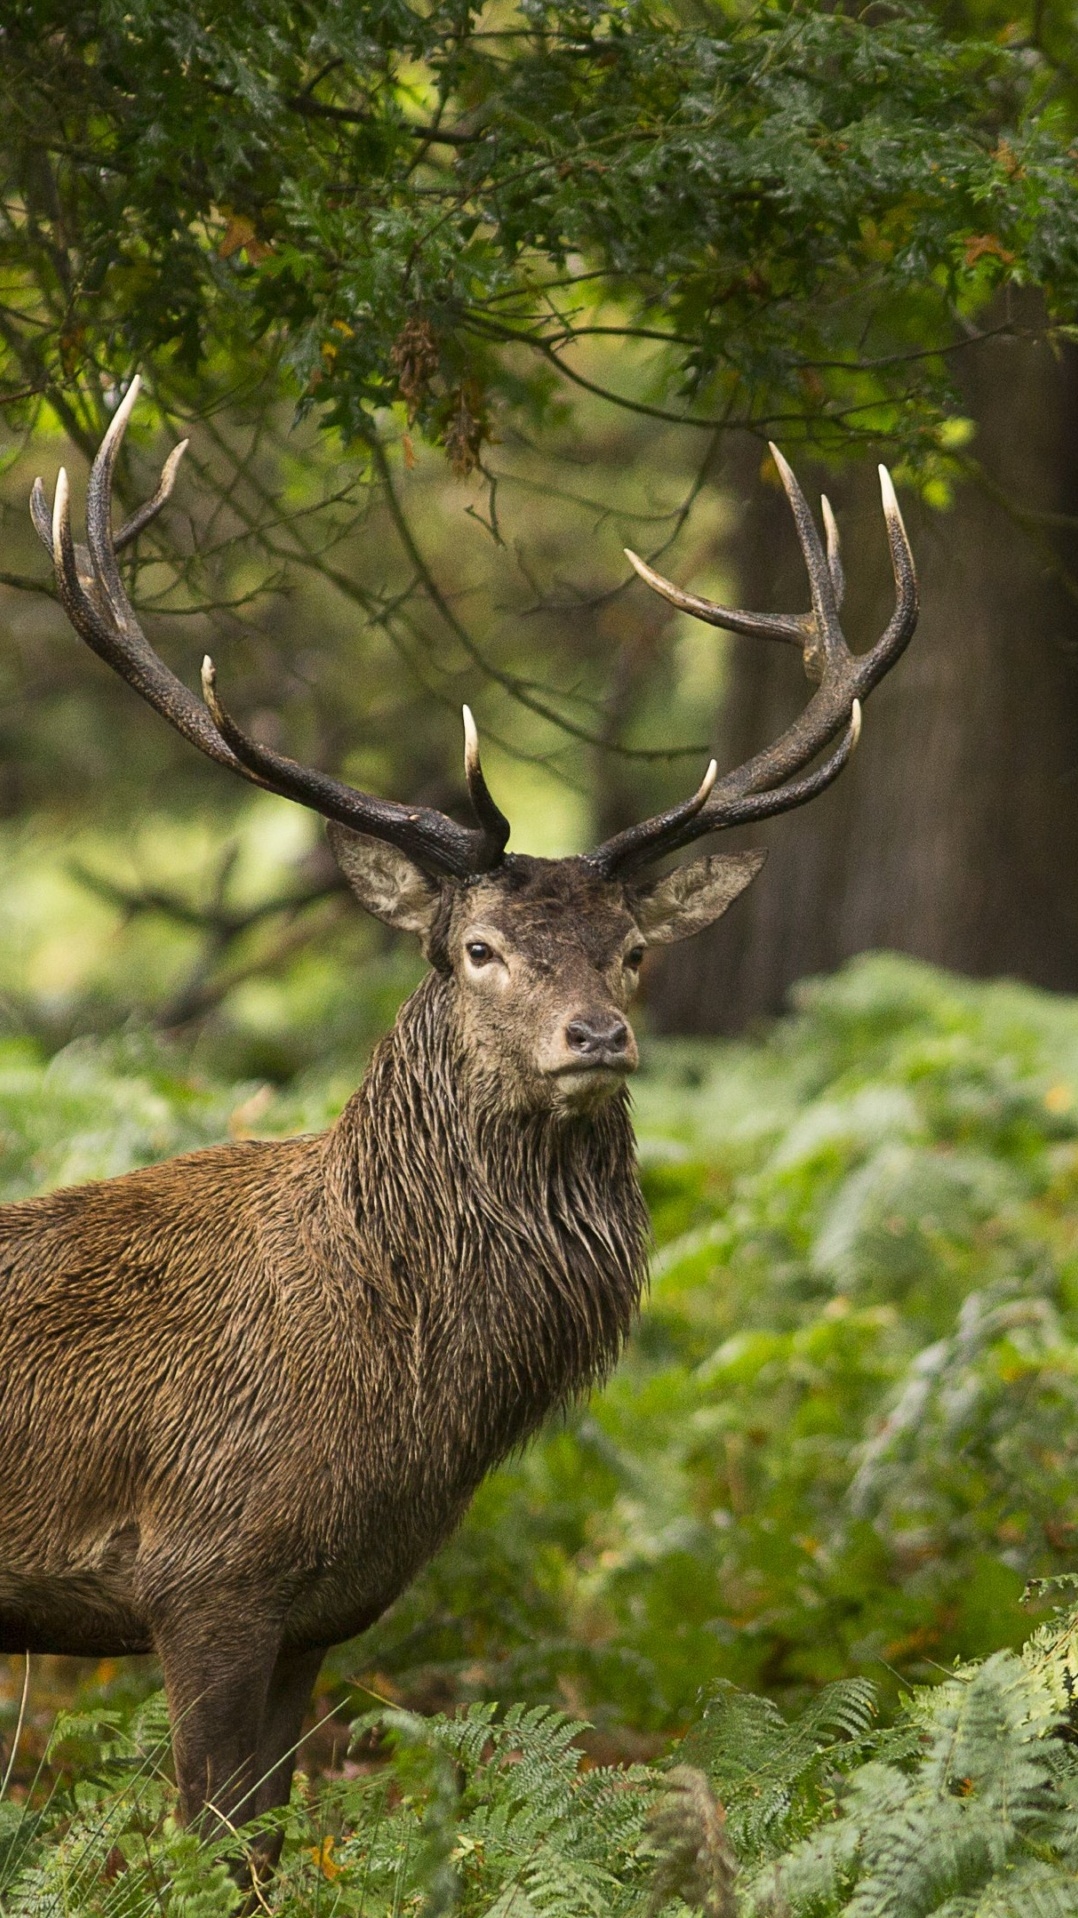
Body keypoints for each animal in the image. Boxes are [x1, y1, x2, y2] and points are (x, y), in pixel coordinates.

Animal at [0, 381, 913, 1864]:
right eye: (477, 948)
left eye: (631, 950)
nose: (597, 1035)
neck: (407, 1395)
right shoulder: (202, 1574)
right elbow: (207, 1849)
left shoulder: (319, 1614)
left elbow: (269, 1844)